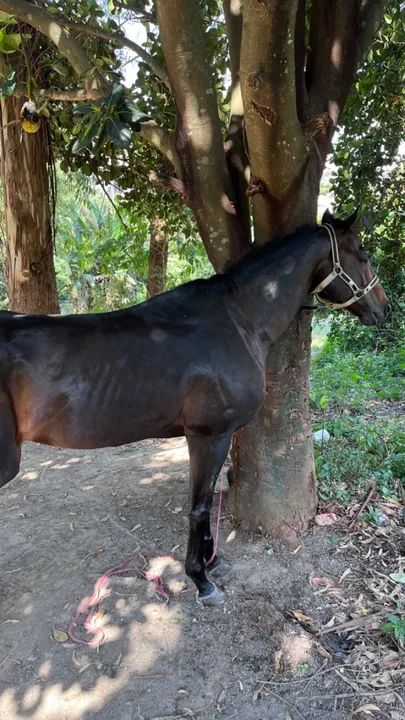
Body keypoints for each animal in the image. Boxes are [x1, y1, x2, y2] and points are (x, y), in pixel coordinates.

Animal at [0, 209, 388, 605]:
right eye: (363, 254)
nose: (385, 308)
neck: (238, 320)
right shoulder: (210, 435)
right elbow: (200, 507)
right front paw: (201, 578)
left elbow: (204, 500)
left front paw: (213, 562)